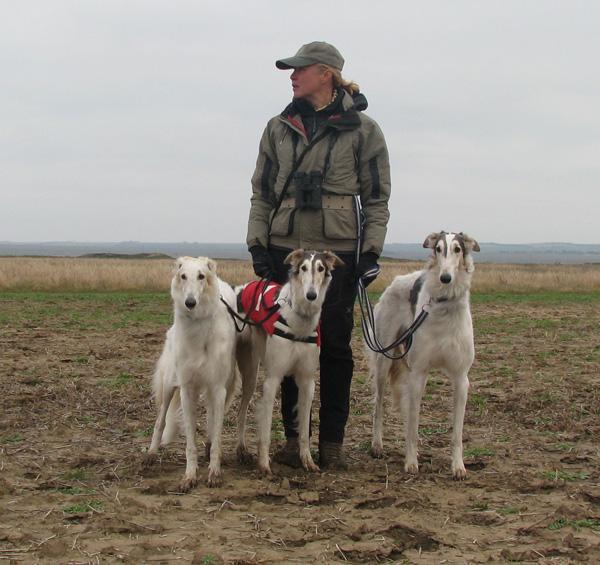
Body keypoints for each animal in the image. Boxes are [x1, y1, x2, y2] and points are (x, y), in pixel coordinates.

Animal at [145, 256, 237, 490]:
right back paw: (151, 453)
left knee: (211, 422)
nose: (190, 303)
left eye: (201, 276)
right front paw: (190, 475)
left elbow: (217, 433)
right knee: (160, 421)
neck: (199, 326)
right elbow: (190, 441)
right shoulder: (187, 388)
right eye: (183, 276)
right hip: (170, 383)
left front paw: (214, 472)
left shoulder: (218, 388)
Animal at [237, 249, 344, 474]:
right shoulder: (272, 379)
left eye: (320, 268)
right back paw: (239, 449)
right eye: (303, 268)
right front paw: (264, 464)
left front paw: (307, 461)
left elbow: (303, 429)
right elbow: (266, 429)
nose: (311, 295)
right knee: (240, 412)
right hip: (249, 374)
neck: (300, 321)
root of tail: (246, 287)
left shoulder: (307, 381)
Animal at [368, 231, 480, 478]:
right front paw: (411, 462)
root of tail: (397, 280)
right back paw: (377, 445)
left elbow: (457, 433)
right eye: (438, 248)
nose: (445, 278)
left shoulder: (461, 378)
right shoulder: (418, 373)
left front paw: (458, 466)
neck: (444, 306)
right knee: (379, 405)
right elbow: (413, 425)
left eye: (457, 249)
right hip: (384, 359)